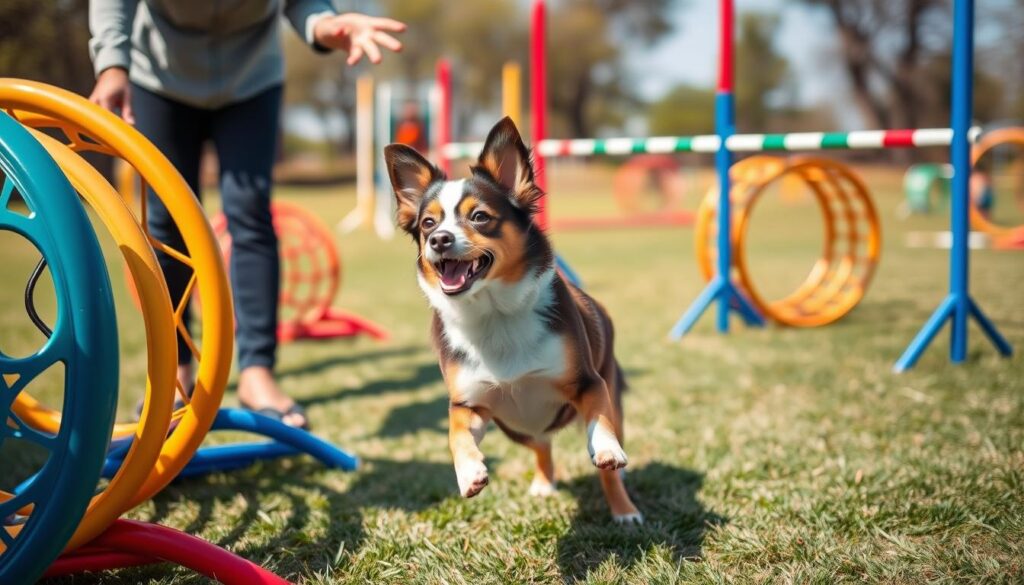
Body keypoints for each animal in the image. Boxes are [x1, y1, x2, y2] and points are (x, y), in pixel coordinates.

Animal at [385, 116, 638, 524]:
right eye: (427, 223)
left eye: (479, 217)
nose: (439, 239)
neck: (494, 315)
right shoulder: (470, 404)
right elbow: (454, 433)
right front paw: (469, 472)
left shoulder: (589, 383)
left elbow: (601, 426)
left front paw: (607, 449)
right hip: (518, 428)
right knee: (542, 445)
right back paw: (544, 484)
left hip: (608, 391)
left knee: (606, 464)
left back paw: (624, 508)